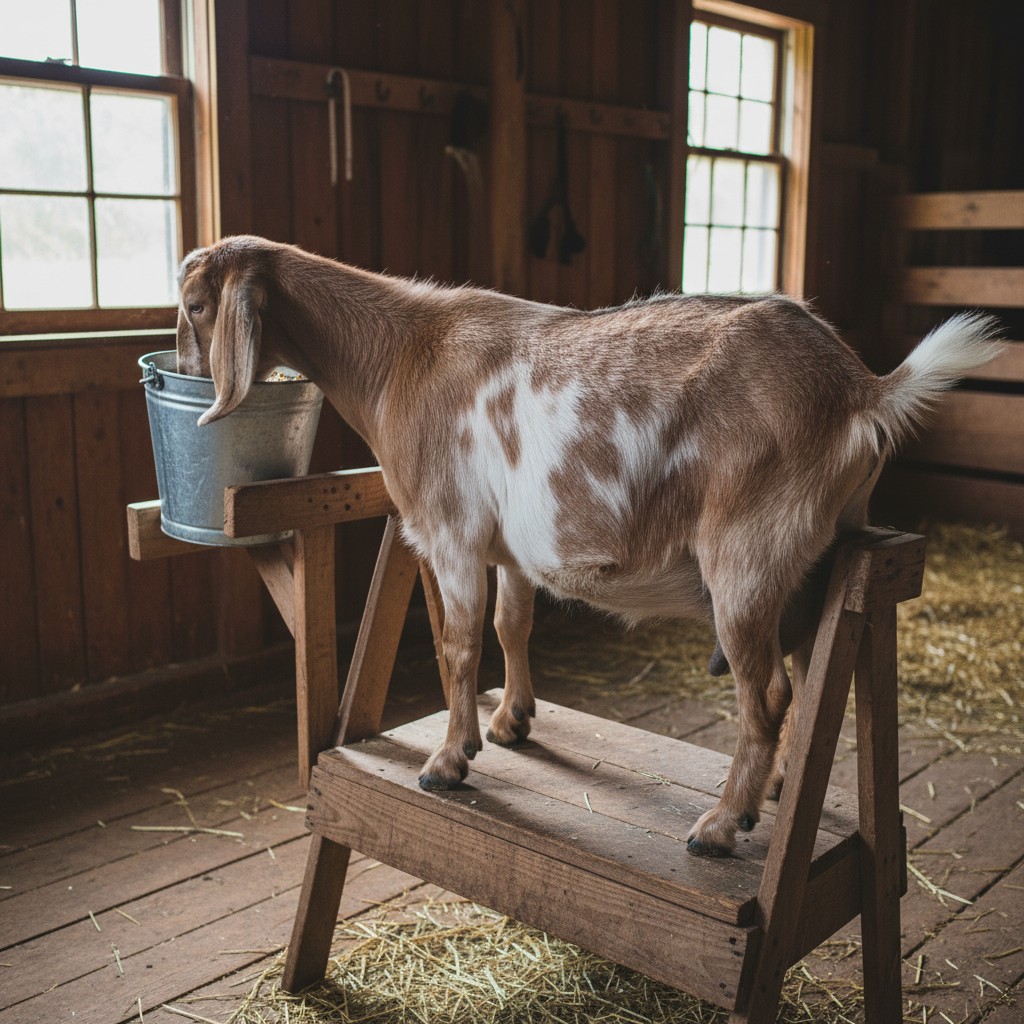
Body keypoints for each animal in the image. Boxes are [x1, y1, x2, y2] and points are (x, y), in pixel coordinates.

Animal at [176, 234, 1001, 857]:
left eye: (194, 305)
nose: (184, 375)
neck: (402, 356)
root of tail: (863, 390)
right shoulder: (507, 548)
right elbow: (510, 624)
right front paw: (508, 724)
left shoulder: (451, 532)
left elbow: (458, 645)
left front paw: (448, 761)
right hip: (818, 553)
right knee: (801, 664)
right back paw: (771, 786)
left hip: (749, 554)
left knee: (766, 689)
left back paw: (720, 825)